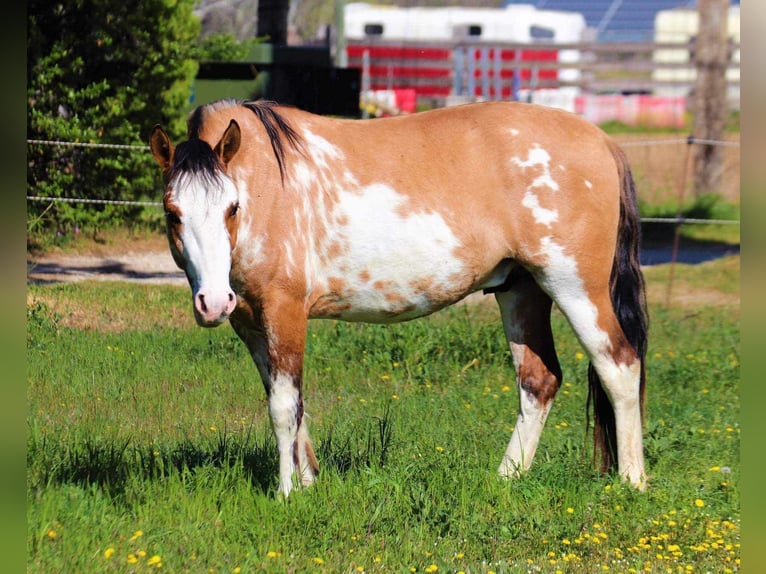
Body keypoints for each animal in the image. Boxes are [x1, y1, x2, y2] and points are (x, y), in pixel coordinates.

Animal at [150, 97, 648, 498]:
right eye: (173, 214)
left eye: (232, 208)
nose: (213, 302)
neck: (265, 184)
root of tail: (602, 141)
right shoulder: (251, 323)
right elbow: (291, 399)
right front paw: (310, 482)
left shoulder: (284, 311)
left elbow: (283, 407)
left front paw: (288, 492)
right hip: (520, 290)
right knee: (539, 381)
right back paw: (506, 477)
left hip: (575, 287)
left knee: (619, 367)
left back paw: (633, 480)